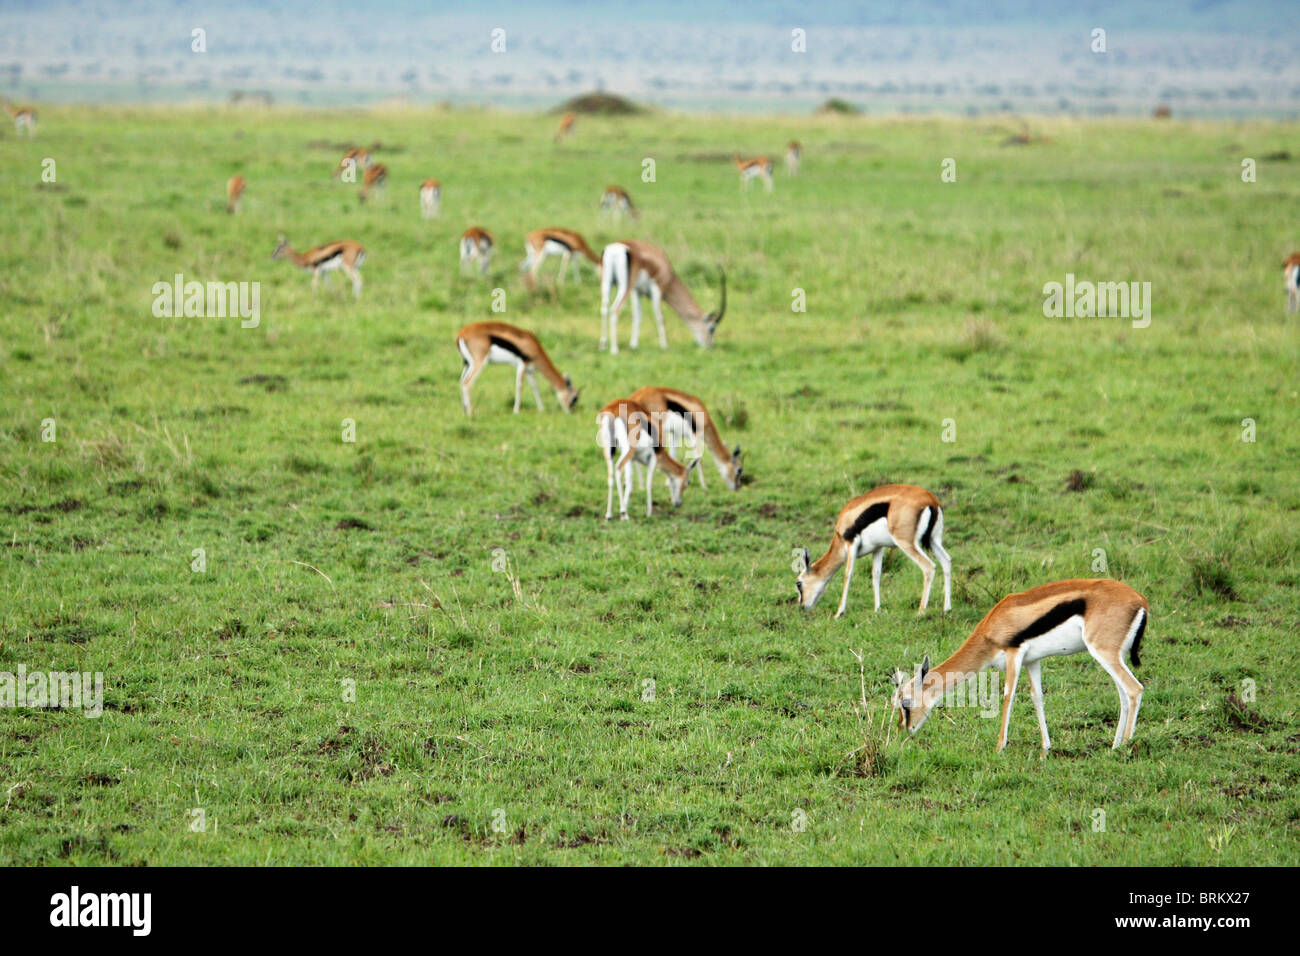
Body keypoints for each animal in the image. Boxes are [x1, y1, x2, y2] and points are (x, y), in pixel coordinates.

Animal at [795, 485, 951, 619]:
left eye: (798, 583)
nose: (801, 607)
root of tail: (931, 500)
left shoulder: (851, 544)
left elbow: (848, 575)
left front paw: (839, 613)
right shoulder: (878, 548)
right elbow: (876, 575)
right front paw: (877, 610)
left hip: (906, 543)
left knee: (929, 567)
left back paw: (920, 612)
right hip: (933, 541)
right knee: (947, 561)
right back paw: (947, 609)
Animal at [890, 579, 1149, 757]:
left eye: (905, 703)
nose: (905, 730)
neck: (991, 627)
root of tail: (1140, 600)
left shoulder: (1014, 654)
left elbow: (1008, 697)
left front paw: (999, 748)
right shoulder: (1032, 661)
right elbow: (1037, 697)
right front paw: (1046, 750)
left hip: (1103, 652)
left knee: (1134, 689)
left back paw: (1126, 747)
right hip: (1113, 656)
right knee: (1123, 695)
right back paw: (1114, 746)